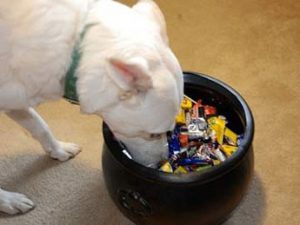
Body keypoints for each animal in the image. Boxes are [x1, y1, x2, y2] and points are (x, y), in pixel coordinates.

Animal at [0, 0, 183, 214]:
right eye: (153, 134)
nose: (162, 163)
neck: (75, 51)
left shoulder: (17, 99)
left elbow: (41, 126)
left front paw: (58, 150)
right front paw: (8, 201)